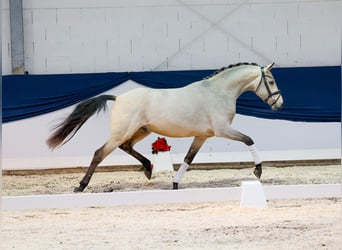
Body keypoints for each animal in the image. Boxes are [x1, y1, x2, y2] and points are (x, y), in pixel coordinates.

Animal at [47, 62, 284, 191]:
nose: (279, 103)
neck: (217, 92)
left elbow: (188, 159)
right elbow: (249, 140)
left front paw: (175, 183)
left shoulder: (202, 136)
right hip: (121, 132)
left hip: (142, 130)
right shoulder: (222, 130)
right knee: (99, 153)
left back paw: (148, 169)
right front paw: (258, 170)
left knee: (127, 147)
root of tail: (119, 97)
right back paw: (81, 186)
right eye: (272, 81)